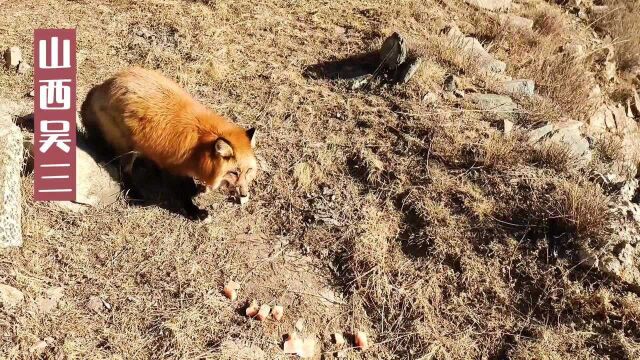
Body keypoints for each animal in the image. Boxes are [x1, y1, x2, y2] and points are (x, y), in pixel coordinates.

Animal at [80, 67, 258, 219]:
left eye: (248, 171)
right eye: (233, 172)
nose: (244, 194)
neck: (198, 149)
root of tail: (103, 85)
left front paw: (195, 190)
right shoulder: (173, 167)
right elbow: (182, 193)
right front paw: (194, 212)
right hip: (128, 147)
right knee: (124, 170)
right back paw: (135, 193)